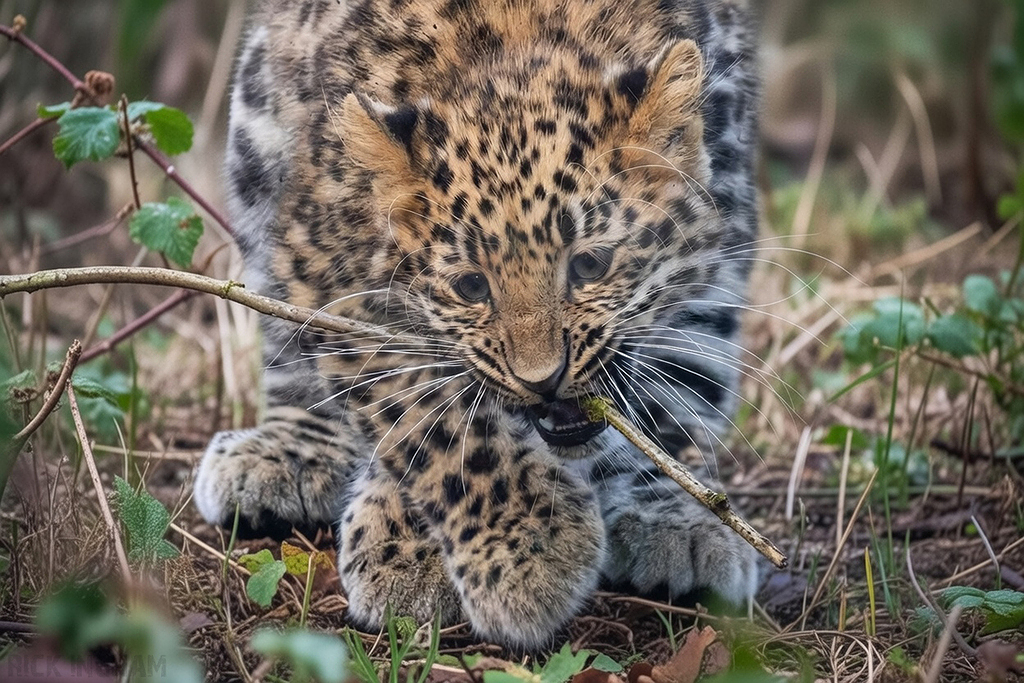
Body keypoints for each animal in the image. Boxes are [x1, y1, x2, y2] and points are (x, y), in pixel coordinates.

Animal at [195, 0, 762, 648]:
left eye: (589, 265)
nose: (543, 379)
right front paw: (527, 551)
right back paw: (289, 454)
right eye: (471, 286)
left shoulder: (723, 222)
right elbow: (427, 415)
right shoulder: (319, 259)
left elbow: (677, 378)